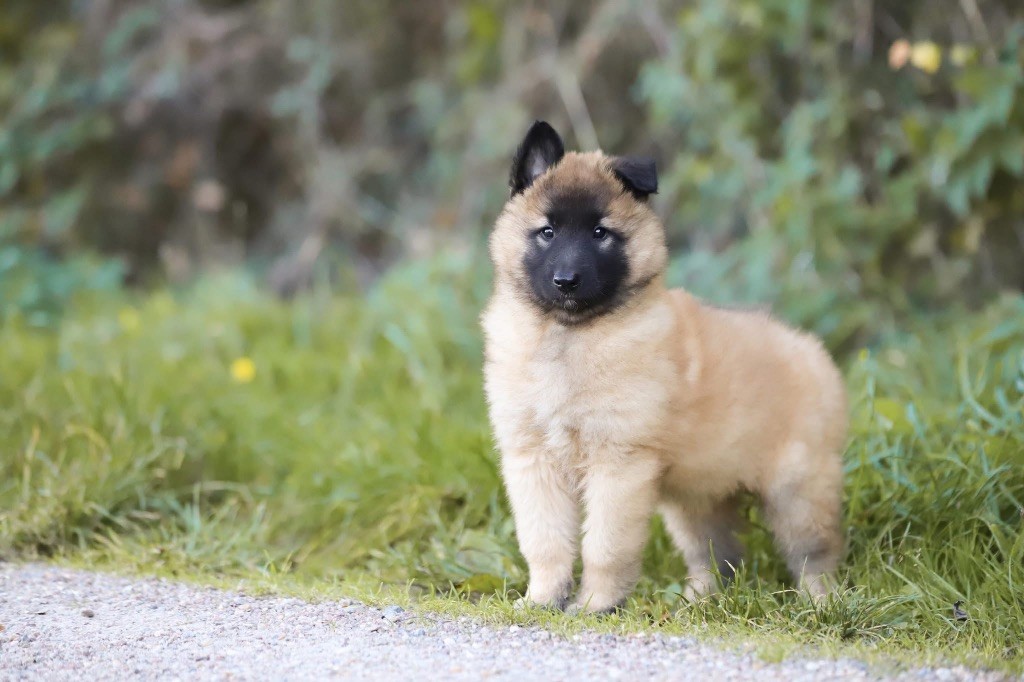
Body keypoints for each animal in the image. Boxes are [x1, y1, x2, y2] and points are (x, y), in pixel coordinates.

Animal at [481, 121, 848, 614]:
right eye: (547, 232)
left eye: (600, 233)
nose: (566, 281)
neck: (570, 336)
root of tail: (812, 350)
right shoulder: (533, 459)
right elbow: (545, 541)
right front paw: (542, 599)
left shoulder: (618, 463)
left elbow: (605, 546)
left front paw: (595, 604)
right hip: (698, 498)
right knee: (717, 557)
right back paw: (696, 603)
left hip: (798, 491)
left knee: (814, 554)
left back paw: (820, 603)